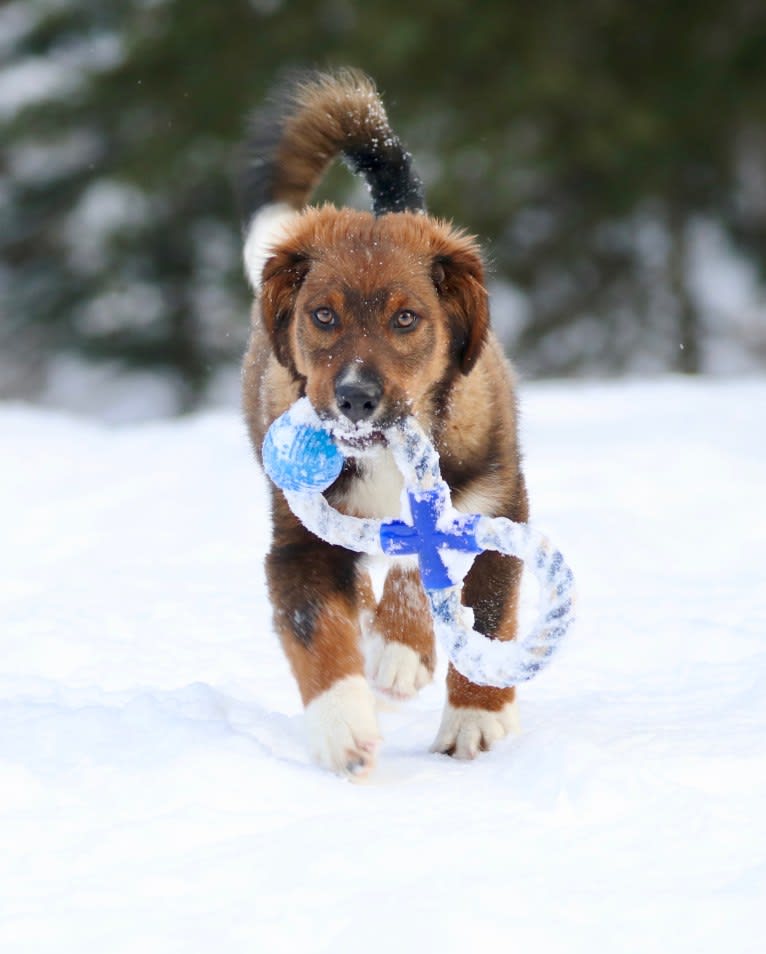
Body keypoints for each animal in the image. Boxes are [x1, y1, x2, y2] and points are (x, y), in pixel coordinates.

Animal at [240, 70, 528, 776]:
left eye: (406, 318)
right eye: (322, 315)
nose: (355, 398)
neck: (385, 459)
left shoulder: (498, 504)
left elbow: (483, 612)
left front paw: (474, 721)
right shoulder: (299, 543)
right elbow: (316, 632)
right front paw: (342, 730)